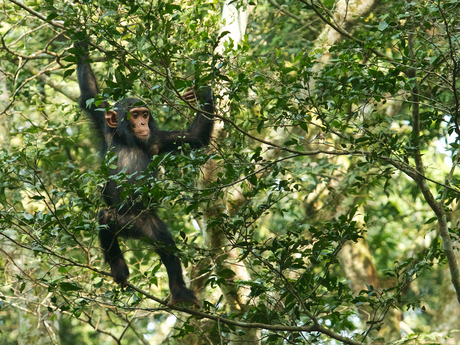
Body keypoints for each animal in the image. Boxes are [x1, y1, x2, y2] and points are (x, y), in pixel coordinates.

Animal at [76, 42, 214, 306]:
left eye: (145, 114)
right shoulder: (102, 121)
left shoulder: (157, 140)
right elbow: (90, 92)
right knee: (105, 217)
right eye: (135, 115)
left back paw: (179, 291)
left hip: (147, 221)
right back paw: (119, 269)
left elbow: (195, 137)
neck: (127, 139)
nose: (142, 124)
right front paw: (79, 42)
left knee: (164, 242)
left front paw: (203, 93)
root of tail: (133, 230)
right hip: (121, 218)